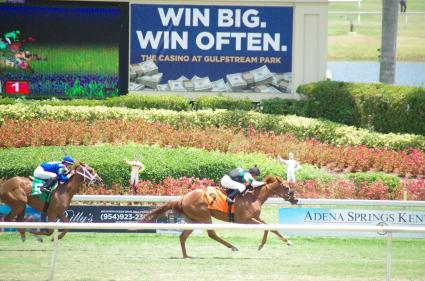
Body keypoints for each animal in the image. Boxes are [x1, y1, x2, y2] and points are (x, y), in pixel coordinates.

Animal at [142, 175, 298, 258]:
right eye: (286, 187)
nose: (296, 199)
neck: (254, 197)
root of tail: (183, 198)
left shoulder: (255, 218)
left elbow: (271, 227)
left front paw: (288, 241)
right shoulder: (245, 220)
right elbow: (266, 227)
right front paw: (261, 245)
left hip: (194, 220)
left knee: (182, 237)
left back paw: (186, 256)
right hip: (204, 217)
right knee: (211, 234)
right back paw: (233, 247)